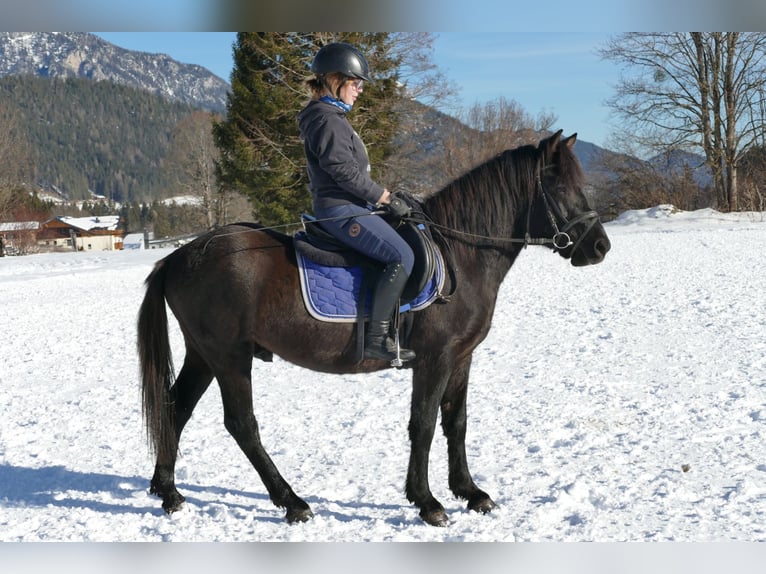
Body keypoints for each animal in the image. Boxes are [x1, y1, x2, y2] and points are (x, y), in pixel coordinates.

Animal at [138, 133, 612, 528]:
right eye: (560, 188)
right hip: (229, 357)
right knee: (241, 424)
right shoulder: (435, 358)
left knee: (176, 409)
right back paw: (291, 502)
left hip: (204, 355)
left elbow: (456, 421)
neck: (461, 254)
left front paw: (470, 492)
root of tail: (179, 256)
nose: (600, 246)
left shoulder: (462, 356)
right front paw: (427, 502)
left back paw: (169, 492)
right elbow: (423, 423)